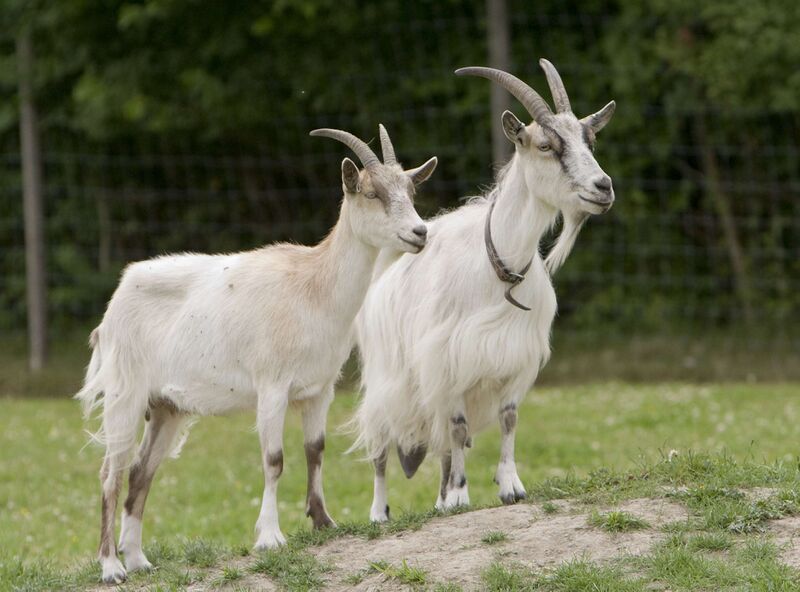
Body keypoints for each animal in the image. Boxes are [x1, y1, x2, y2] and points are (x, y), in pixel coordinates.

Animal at [76, 126, 437, 583]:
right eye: (372, 193)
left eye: (411, 189)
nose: (420, 233)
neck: (313, 288)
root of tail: (116, 301)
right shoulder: (272, 387)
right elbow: (274, 459)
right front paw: (270, 537)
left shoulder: (319, 390)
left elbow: (315, 450)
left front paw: (323, 521)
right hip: (125, 395)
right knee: (111, 474)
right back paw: (111, 567)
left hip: (166, 408)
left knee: (141, 472)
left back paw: (139, 560)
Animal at [353, 60, 616, 521]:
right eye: (546, 145)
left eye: (591, 139)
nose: (603, 188)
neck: (499, 267)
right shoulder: (448, 359)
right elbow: (458, 428)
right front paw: (461, 495)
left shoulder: (514, 354)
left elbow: (508, 419)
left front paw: (509, 486)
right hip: (387, 378)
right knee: (382, 446)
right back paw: (381, 512)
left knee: (439, 442)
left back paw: (440, 500)